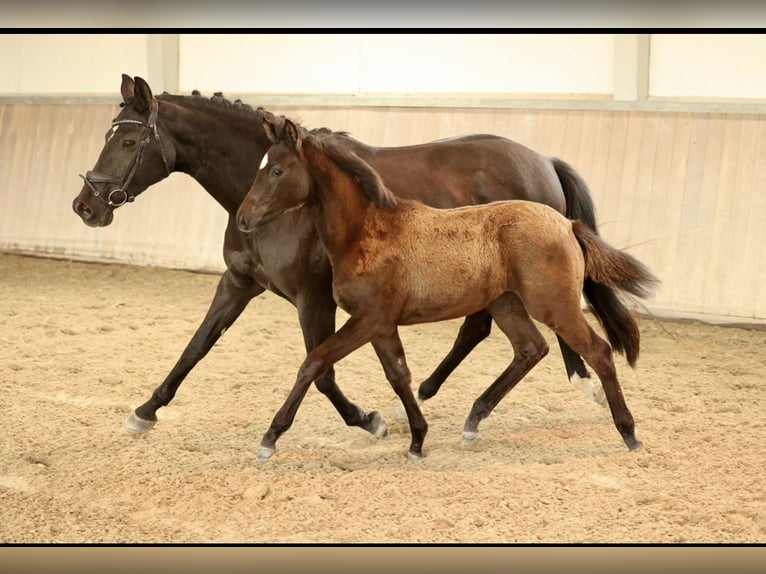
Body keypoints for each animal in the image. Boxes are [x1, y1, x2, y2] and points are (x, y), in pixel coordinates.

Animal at [72, 74, 606, 440]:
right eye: (108, 135)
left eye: (128, 140)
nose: (85, 206)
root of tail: (543, 161)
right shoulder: (238, 283)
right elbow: (196, 346)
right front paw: (146, 411)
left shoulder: (314, 298)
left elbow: (322, 369)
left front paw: (366, 420)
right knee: (480, 329)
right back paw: (434, 391)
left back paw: (581, 383)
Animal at [236, 118, 659, 460]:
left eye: (276, 170)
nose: (243, 218)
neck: (367, 231)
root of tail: (567, 224)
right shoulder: (380, 325)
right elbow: (398, 375)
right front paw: (417, 439)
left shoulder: (369, 319)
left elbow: (314, 362)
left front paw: (270, 439)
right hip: (507, 305)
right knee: (530, 349)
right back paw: (473, 420)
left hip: (554, 305)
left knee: (598, 351)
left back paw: (629, 433)